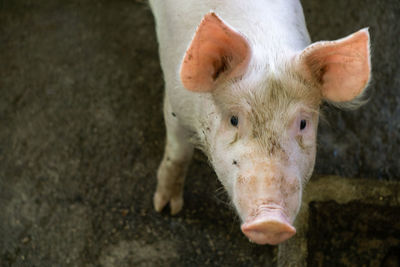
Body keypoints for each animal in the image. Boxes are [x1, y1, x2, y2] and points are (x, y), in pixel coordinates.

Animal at [148, 0, 370, 246]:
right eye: (234, 120)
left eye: (303, 123)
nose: (271, 222)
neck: (267, 47)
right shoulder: (174, 104)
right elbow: (178, 155)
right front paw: (166, 208)